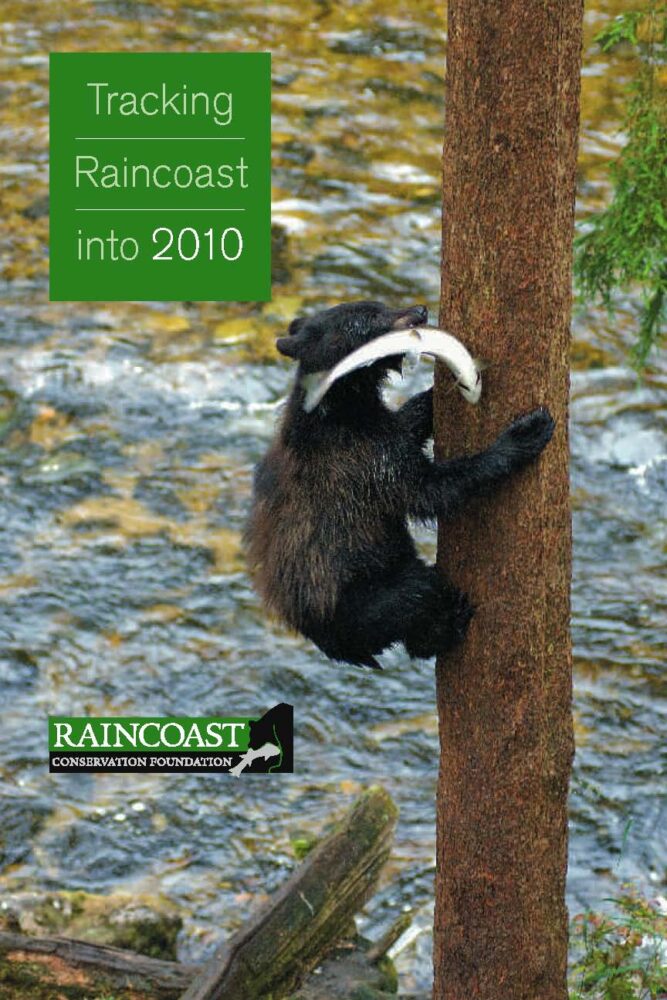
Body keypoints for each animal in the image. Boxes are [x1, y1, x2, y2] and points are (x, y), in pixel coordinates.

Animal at [245, 300, 555, 669]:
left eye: (379, 304)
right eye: (372, 315)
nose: (420, 310)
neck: (343, 401)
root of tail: (329, 645)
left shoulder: (377, 428)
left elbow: (406, 423)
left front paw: (433, 396)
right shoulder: (362, 459)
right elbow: (429, 490)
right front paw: (526, 434)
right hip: (362, 598)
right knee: (418, 594)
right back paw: (451, 620)